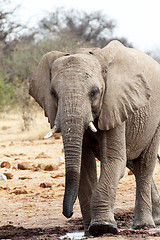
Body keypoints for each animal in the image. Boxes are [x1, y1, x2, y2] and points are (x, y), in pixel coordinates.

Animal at [29, 40, 160, 236]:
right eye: (53, 94)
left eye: (94, 92)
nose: (68, 213)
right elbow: (83, 166)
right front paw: (90, 232)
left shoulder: (114, 103)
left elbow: (113, 160)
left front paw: (102, 227)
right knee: (133, 164)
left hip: (155, 121)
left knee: (144, 165)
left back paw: (143, 226)